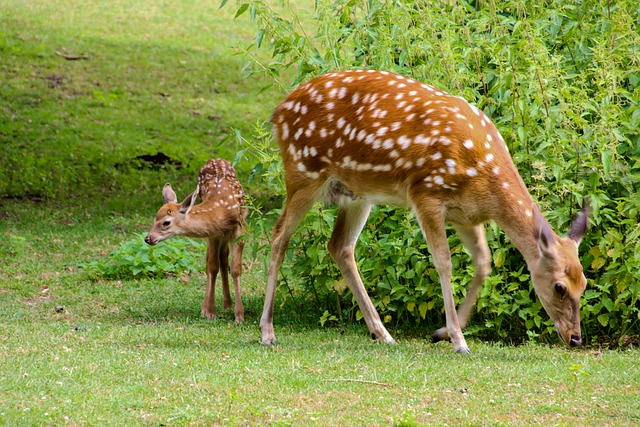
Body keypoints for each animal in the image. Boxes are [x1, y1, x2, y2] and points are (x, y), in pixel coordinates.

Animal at [146, 159, 248, 322]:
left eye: (166, 222)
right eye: (154, 219)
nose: (148, 238)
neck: (221, 212)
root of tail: (216, 159)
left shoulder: (240, 229)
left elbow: (236, 269)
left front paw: (239, 315)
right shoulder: (213, 233)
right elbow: (212, 266)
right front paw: (210, 311)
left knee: (223, 257)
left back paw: (228, 305)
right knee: (215, 259)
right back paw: (215, 305)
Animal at [262, 68, 592, 352]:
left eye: (584, 283)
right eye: (559, 287)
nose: (575, 338)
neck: (484, 178)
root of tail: (278, 112)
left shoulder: (467, 214)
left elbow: (484, 263)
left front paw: (442, 332)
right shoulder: (426, 195)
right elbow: (444, 263)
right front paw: (458, 339)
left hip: (357, 194)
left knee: (340, 246)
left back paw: (382, 333)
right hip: (303, 173)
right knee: (278, 235)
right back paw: (267, 331)